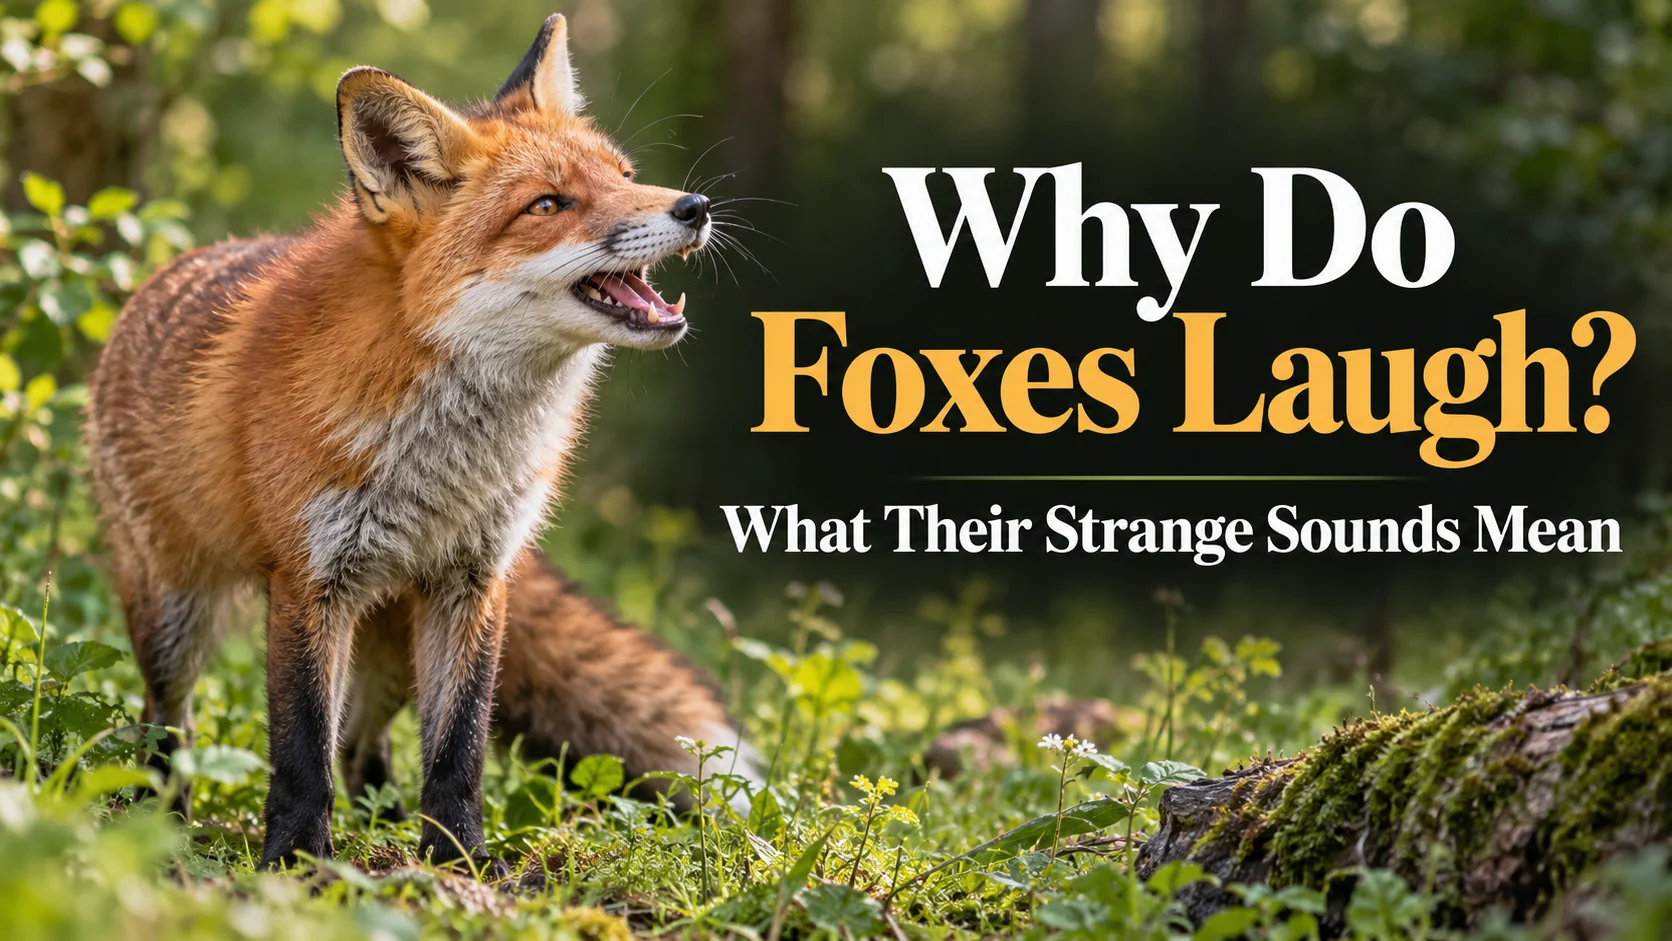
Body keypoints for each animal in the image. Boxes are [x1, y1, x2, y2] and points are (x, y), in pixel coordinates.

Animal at [86, 13, 733, 875]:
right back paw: (166, 819)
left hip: (391, 638)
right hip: (174, 608)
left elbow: (456, 748)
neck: (446, 462)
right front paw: (296, 863)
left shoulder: (476, 579)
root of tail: (158, 280)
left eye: (627, 175)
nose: (695, 206)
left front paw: (460, 859)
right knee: (171, 717)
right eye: (549, 203)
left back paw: (384, 818)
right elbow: (300, 751)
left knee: (364, 743)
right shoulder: (309, 582)